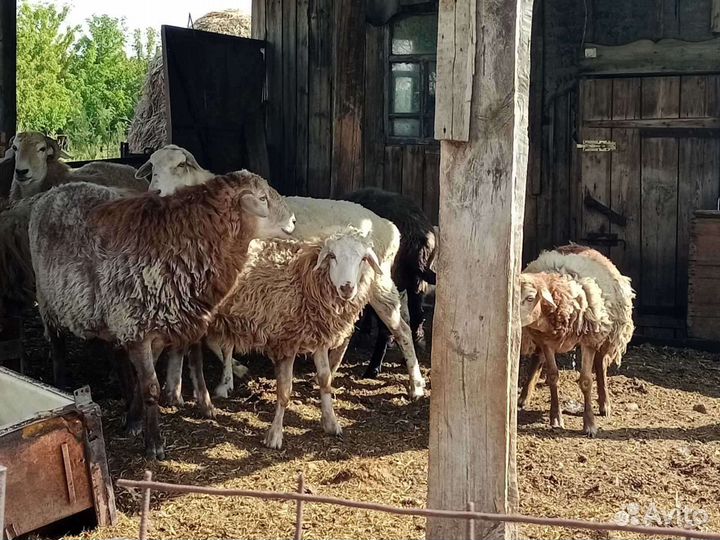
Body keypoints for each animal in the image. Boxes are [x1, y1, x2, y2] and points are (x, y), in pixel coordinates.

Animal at [29, 171, 295, 459]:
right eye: (262, 198)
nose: (293, 221)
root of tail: (56, 189)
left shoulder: (147, 327)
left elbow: (147, 380)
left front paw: (133, 421)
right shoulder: (136, 327)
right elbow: (151, 387)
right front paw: (153, 443)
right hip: (48, 301)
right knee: (57, 346)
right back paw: (61, 382)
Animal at [137, 145, 426, 400]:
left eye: (180, 166)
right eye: (151, 167)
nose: (155, 193)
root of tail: (388, 225)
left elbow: (221, 340)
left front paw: (229, 378)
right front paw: (233, 374)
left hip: (378, 283)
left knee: (402, 328)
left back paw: (416, 385)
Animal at [163, 229, 383, 449]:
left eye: (363, 259)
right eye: (332, 256)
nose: (347, 288)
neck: (303, 278)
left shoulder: (318, 336)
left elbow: (325, 379)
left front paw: (331, 422)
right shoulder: (286, 341)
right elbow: (285, 391)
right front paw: (275, 435)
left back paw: (176, 392)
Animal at [518, 246, 635, 436]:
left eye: (530, 298)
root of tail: (580, 246)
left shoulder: (589, 341)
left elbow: (586, 381)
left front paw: (590, 424)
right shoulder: (546, 342)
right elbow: (553, 376)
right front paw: (556, 418)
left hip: (607, 334)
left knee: (601, 364)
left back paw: (604, 404)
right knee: (537, 359)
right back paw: (524, 397)